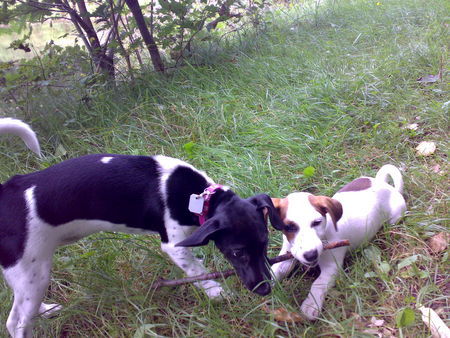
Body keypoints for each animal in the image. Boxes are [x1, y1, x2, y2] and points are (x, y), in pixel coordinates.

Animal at [0, 117, 284, 336]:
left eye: (265, 244)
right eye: (237, 252)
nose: (266, 289)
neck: (201, 198)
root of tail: (7, 191)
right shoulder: (174, 245)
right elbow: (196, 270)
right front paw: (216, 292)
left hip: (32, 275)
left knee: (23, 306)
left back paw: (45, 309)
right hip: (31, 271)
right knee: (16, 322)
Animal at [272, 166, 406, 320]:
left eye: (317, 222)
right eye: (289, 227)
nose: (311, 255)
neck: (325, 233)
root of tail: (386, 185)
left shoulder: (332, 267)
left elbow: (318, 284)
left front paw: (311, 304)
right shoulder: (287, 255)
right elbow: (275, 270)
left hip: (395, 218)